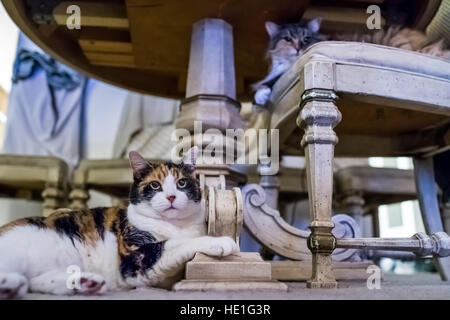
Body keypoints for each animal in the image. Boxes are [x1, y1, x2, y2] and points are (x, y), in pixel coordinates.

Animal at [0, 148, 239, 300]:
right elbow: (174, 243)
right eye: (155, 185)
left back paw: (85, 282)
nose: (171, 196)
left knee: (35, 281)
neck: (174, 225)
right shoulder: (134, 258)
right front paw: (221, 241)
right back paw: (9, 285)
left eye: (181, 183)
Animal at [253, 17, 450, 105]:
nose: (298, 48)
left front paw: (260, 96)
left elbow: (268, 83)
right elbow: (265, 82)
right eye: (287, 39)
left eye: (306, 39)